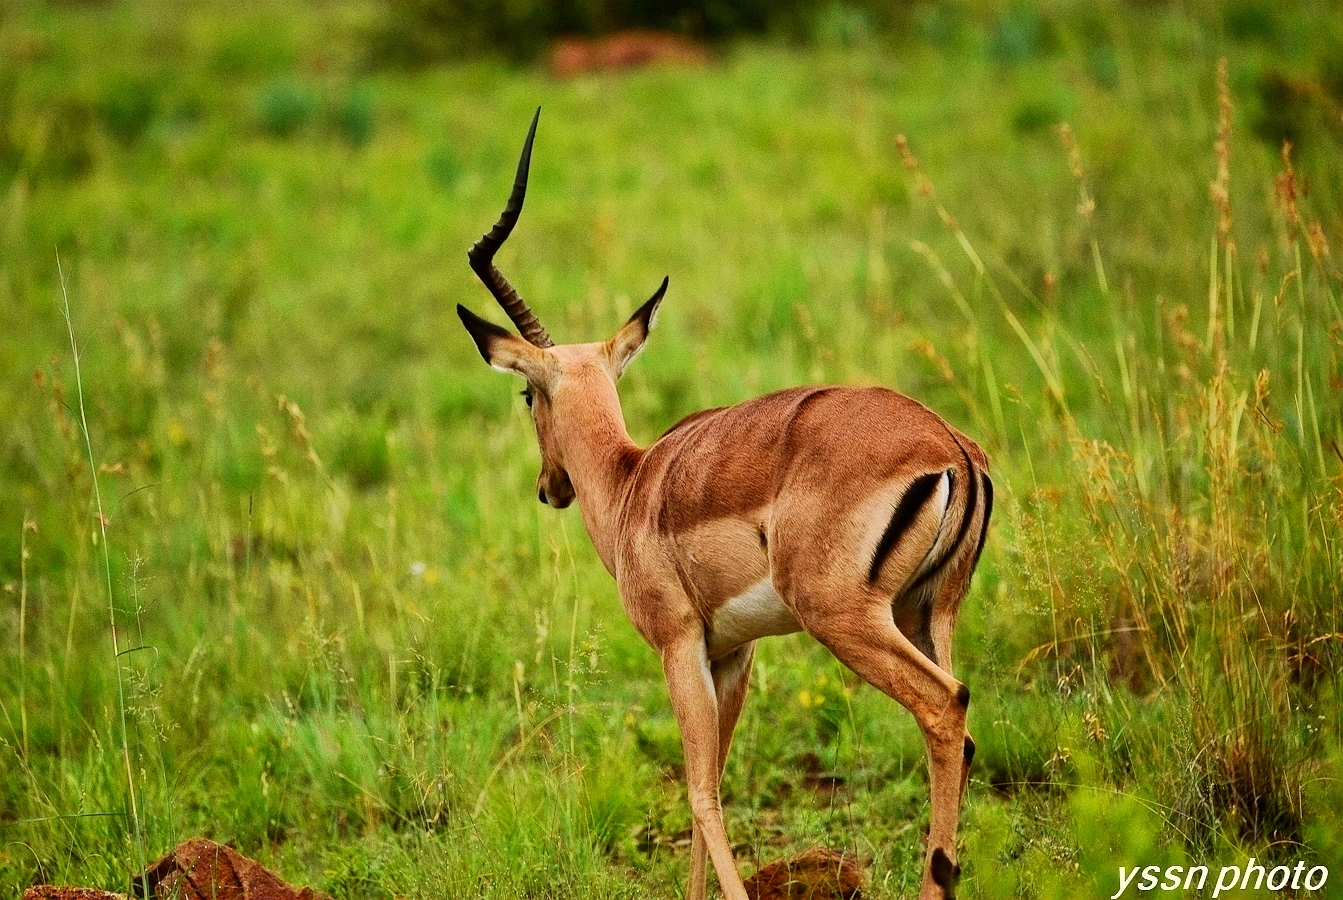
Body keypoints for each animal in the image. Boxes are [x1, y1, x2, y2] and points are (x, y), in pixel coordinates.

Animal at [456, 110, 993, 900]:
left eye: (527, 393)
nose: (548, 487)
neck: (632, 483)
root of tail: (948, 446)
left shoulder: (679, 643)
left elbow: (700, 790)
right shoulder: (731, 654)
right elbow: (711, 784)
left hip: (847, 618)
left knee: (945, 705)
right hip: (928, 612)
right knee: (960, 729)